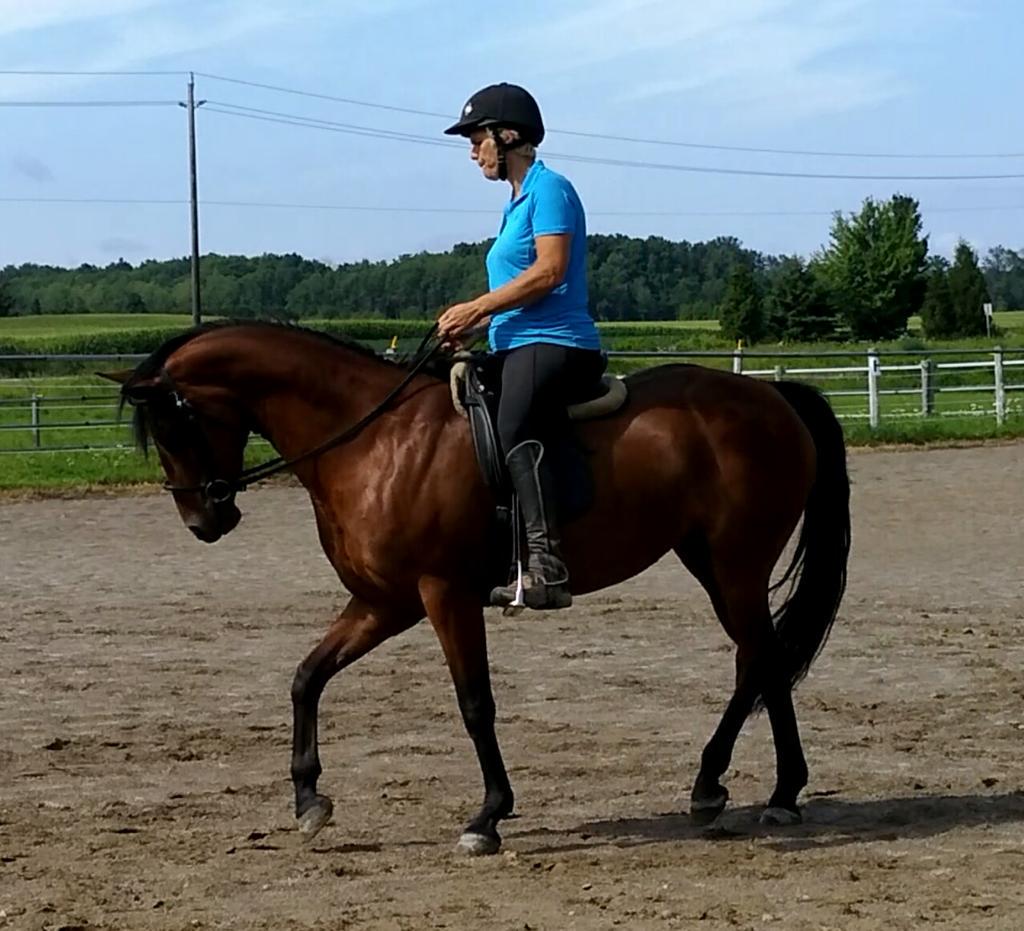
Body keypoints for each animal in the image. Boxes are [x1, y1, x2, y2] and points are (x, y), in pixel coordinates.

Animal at [105, 320, 850, 856]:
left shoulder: (444, 593)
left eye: (175, 424)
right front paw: (308, 800)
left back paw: (739, 787)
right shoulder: (385, 601)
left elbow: (474, 703)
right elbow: (307, 676)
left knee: (758, 659)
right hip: (712, 562)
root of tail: (771, 395)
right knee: (764, 660)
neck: (373, 438)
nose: (204, 520)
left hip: (735, 562)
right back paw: (763, 790)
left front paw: (487, 816)